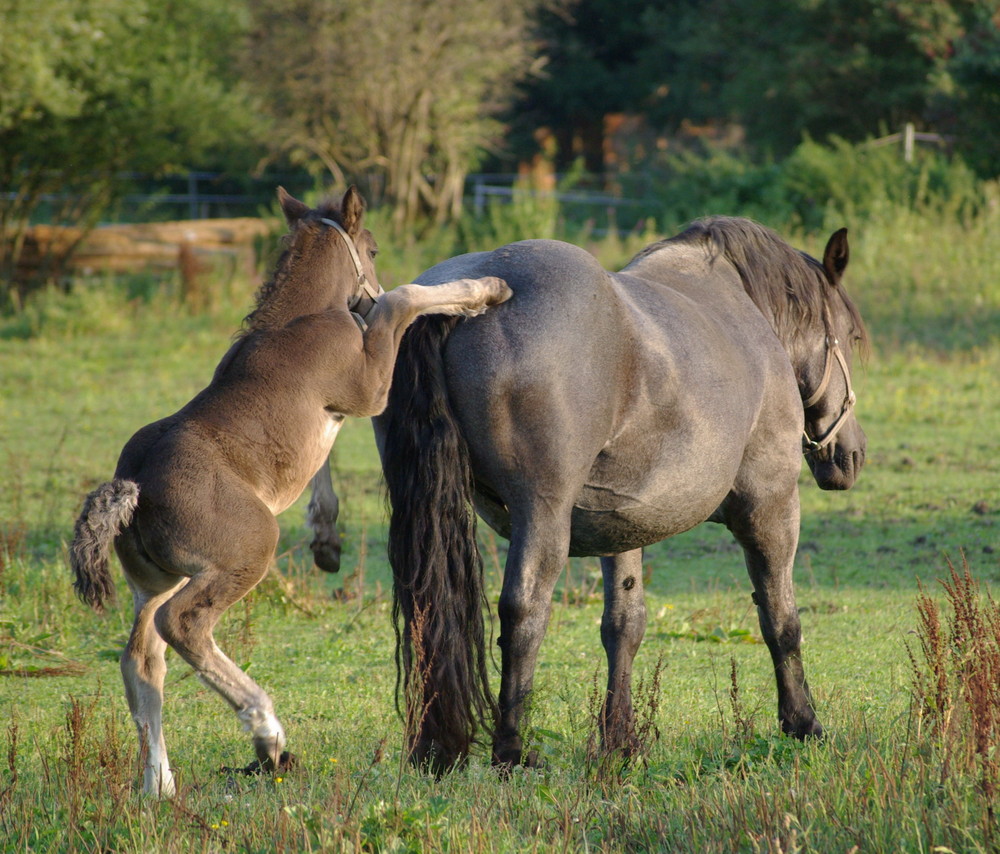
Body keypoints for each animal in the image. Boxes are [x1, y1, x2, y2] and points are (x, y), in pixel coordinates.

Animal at [71, 189, 512, 804]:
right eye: (373, 248)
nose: (366, 287)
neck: (303, 317)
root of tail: (132, 485)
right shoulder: (368, 387)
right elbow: (399, 301)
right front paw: (486, 290)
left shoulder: (331, 417)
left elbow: (319, 466)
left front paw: (327, 540)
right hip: (244, 552)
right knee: (182, 628)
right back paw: (267, 735)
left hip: (156, 580)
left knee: (141, 659)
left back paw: (159, 782)